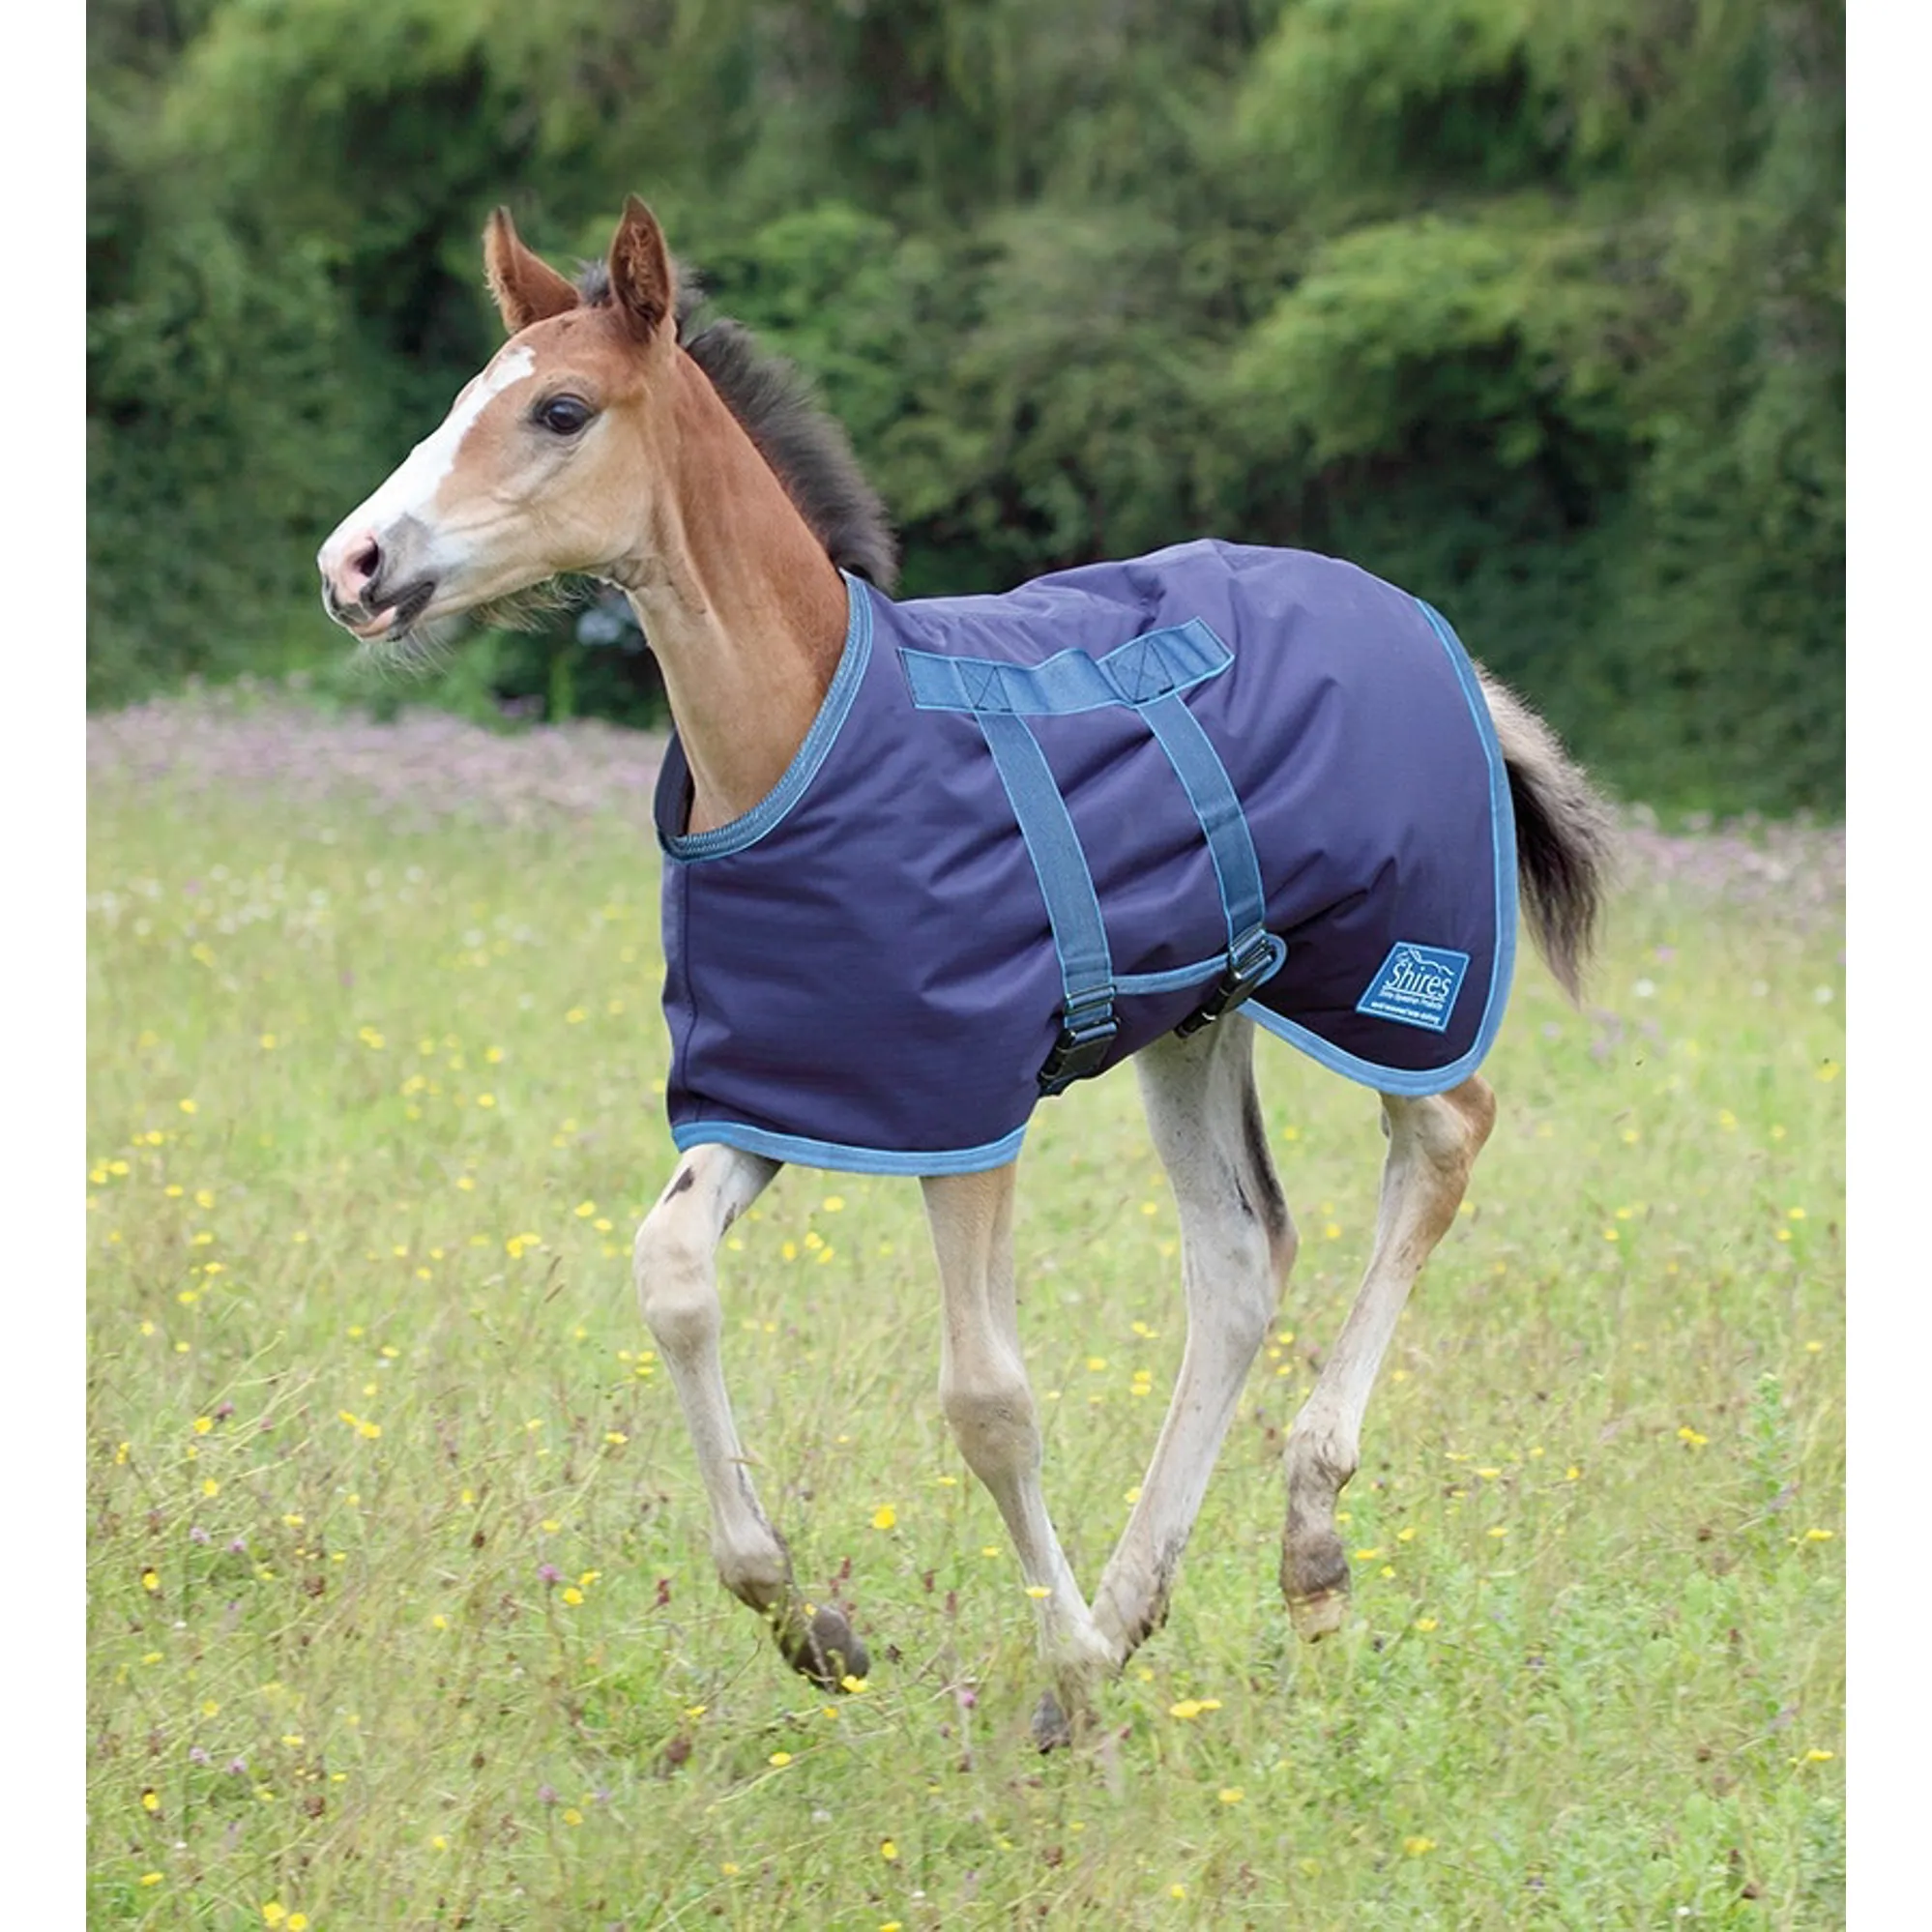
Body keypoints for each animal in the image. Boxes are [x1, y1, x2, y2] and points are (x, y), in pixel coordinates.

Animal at [318, 196, 1615, 1744]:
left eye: (559, 410)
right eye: (467, 394)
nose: (353, 565)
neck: (805, 734)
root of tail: (1428, 635)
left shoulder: (965, 1109)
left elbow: (987, 1398)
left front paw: (1064, 1676)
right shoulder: (795, 1086)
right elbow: (671, 1269)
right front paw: (811, 1621)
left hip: (1394, 970)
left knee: (1444, 1138)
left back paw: (1302, 1546)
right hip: (1200, 1011)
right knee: (1242, 1254)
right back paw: (1138, 1600)